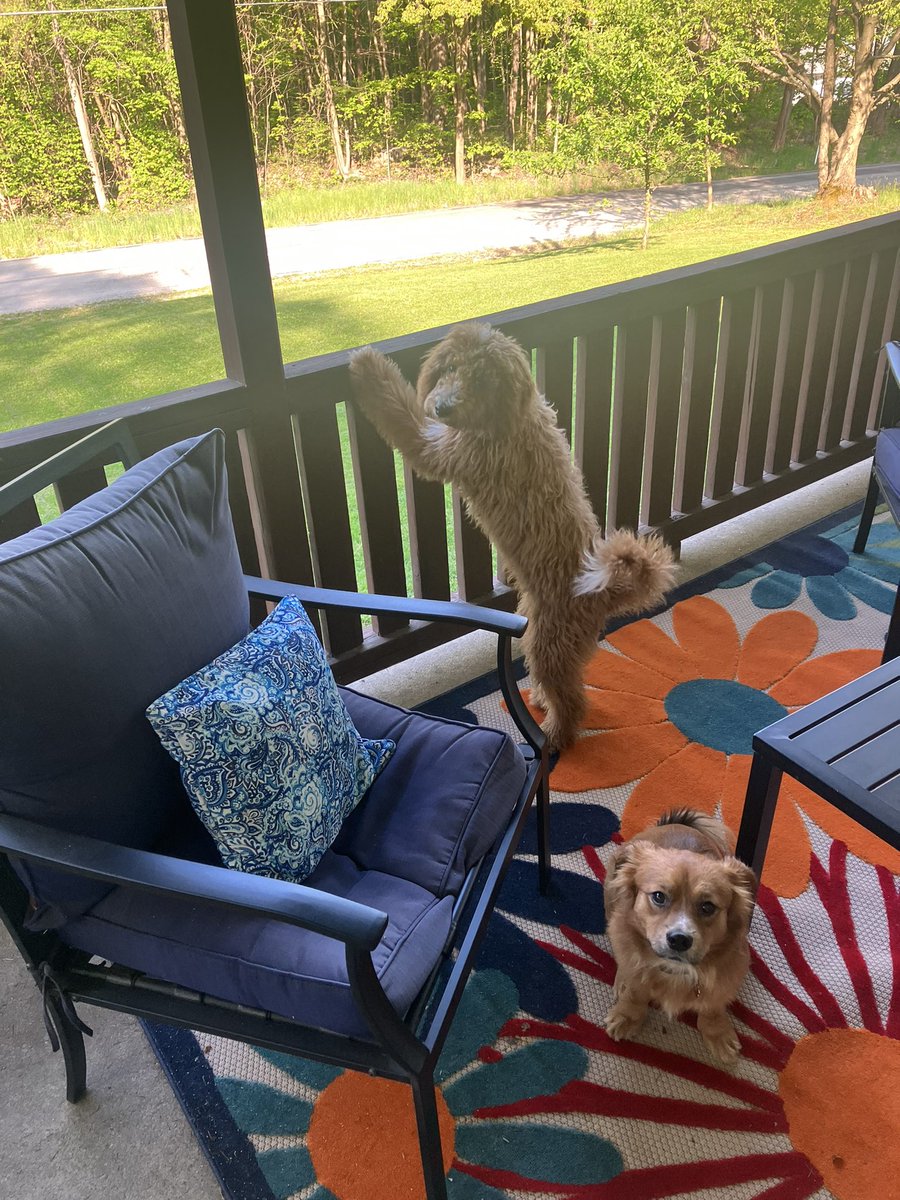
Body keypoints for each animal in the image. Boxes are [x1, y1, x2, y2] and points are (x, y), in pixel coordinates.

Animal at [350, 319, 676, 748]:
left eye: (482, 380)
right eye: (451, 367)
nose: (442, 407)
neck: (506, 419)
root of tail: (602, 594)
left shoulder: (442, 448)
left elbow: (400, 410)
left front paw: (367, 366)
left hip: (549, 644)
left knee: (572, 700)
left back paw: (554, 734)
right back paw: (538, 700)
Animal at [602, 811, 758, 1065]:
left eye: (707, 907)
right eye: (658, 896)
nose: (679, 939)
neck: (675, 970)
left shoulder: (727, 975)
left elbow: (713, 1006)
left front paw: (717, 1032)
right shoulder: (635, 965)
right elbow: (635, 991)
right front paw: (628, 1015)